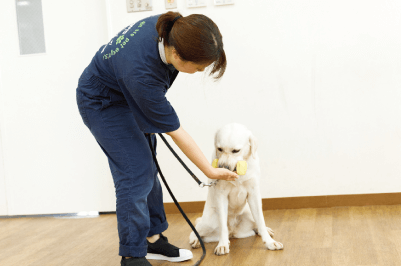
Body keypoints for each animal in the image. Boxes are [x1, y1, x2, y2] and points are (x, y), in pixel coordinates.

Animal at [189, 123, 282, 255]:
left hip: (248, 213)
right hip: (208, 223)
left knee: (256, 224)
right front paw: (222, 245)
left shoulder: (253, 194)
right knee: (195, 230)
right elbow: (223, 226)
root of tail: (233, 232)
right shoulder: (221, 195)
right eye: (219, 149)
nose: (223, 167)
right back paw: (196, 241)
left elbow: (261, 221)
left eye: (235, 151)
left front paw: (269, 242)